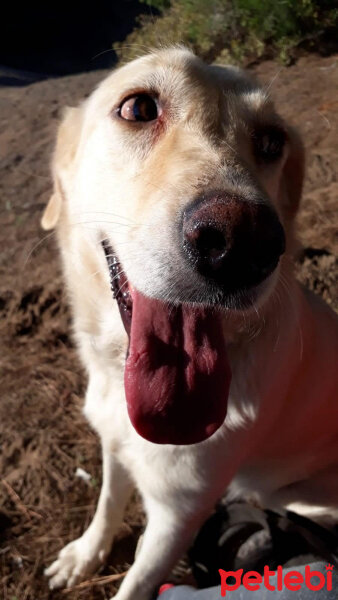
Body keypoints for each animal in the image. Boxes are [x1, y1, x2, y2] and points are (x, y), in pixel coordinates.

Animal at [42, 48, 338, 600]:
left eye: (271, 141)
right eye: (138, 108)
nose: (243, 243)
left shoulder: (178, 515)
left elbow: (137, 582)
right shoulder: (113, 446)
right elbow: (108, 503)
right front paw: (85, 554)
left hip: (301, 494)